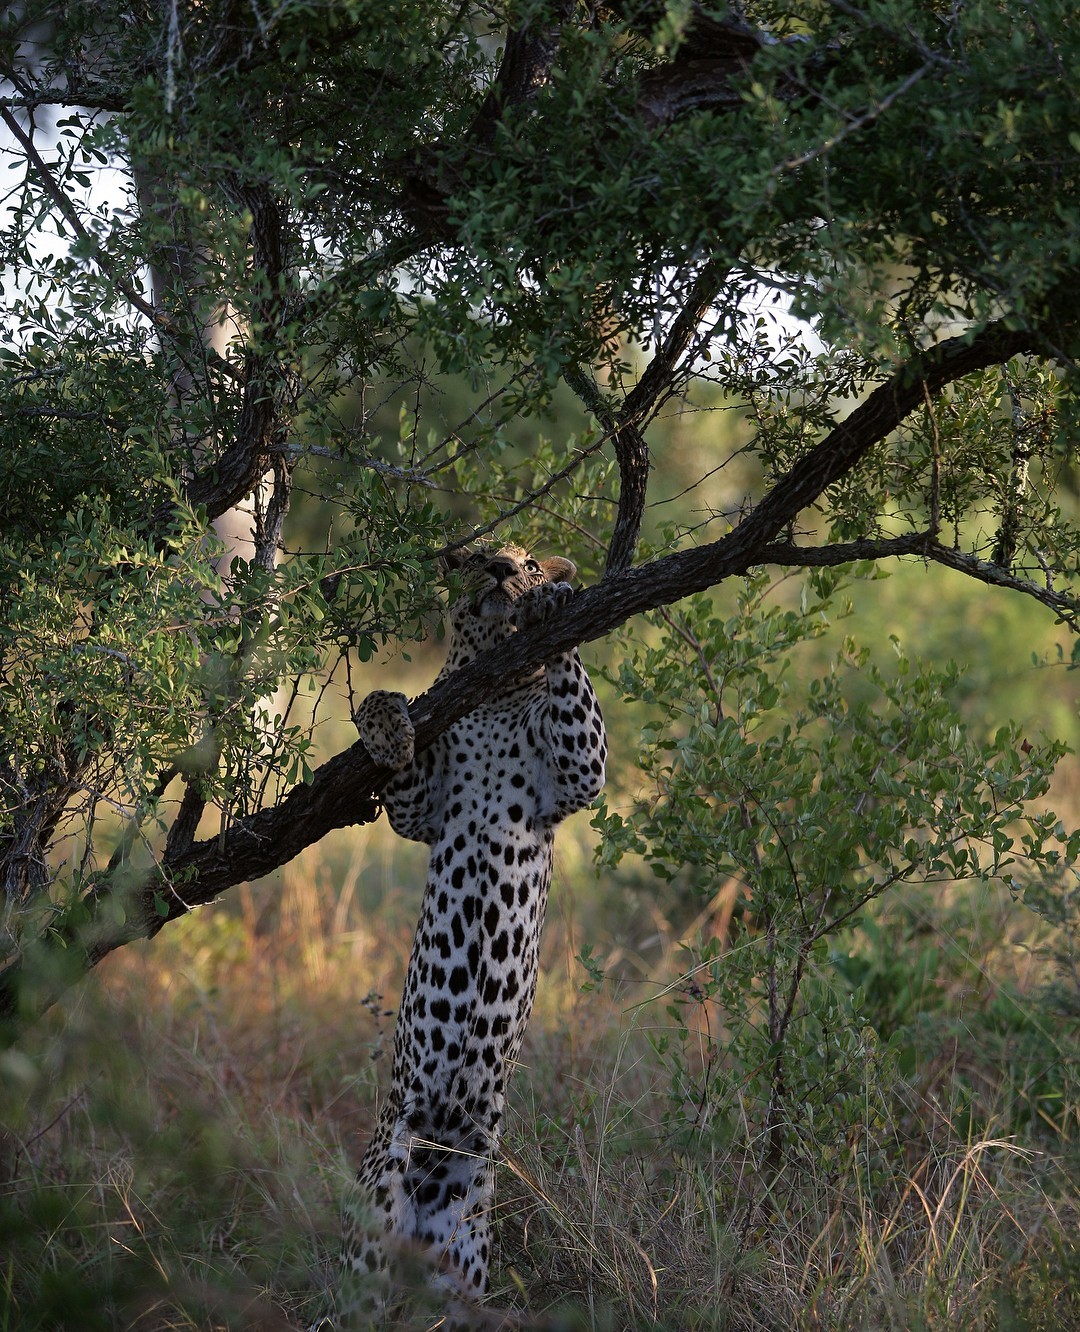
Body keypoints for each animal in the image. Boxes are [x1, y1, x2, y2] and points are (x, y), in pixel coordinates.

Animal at [335, 540, 604, 1321]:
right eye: (479, 554)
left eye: (530, 560)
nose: (502, 570)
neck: (496, 693)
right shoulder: (419, 809)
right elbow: (382, 707)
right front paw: (391, 721)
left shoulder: (577, 772)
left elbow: (577, 703)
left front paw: (554, 604)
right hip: (370, 1235)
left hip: (463, 1266)